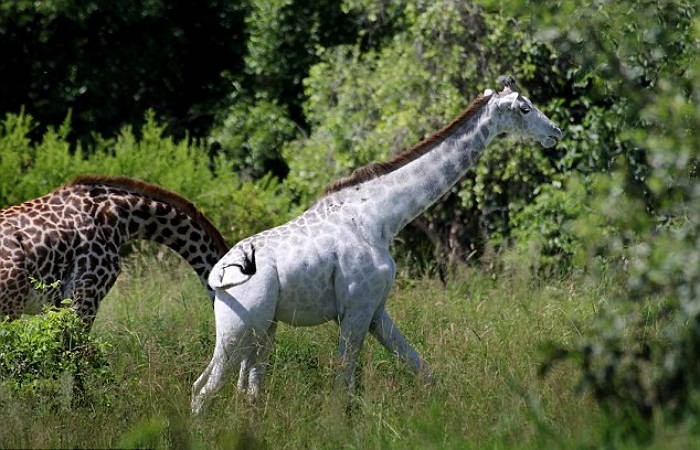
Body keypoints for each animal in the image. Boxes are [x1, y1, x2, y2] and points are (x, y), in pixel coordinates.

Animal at [191, 75, 564, 414]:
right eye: (525, 108)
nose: (556, 132)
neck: (380, 216)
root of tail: (217, 275)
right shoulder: (355, 308)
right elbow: (343, 384)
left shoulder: (376, 309)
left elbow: (421, 368)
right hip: (239, 329)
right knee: (205, 389)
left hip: (263, 330)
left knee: (243, 391)